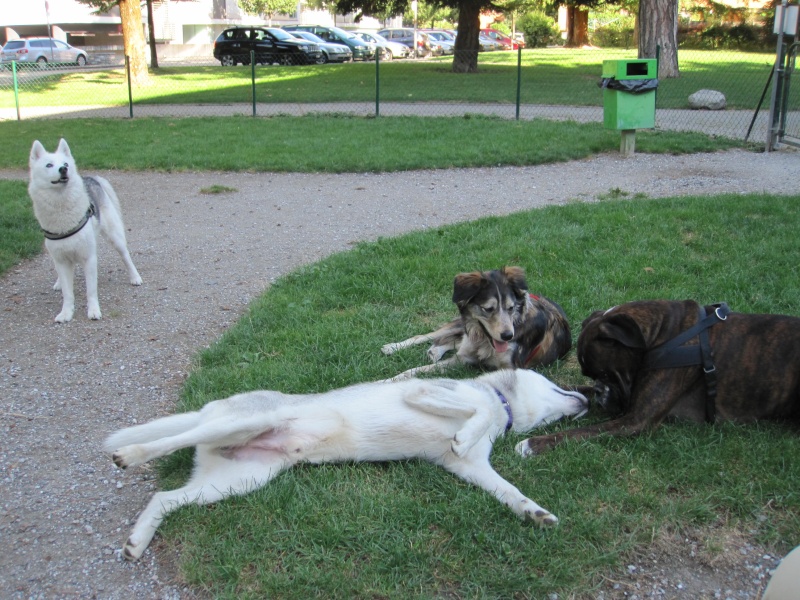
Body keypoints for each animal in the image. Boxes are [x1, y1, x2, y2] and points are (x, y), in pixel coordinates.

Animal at [28, 138, 142, 322]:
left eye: (65, 163)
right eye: (49, 165)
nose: (63, 169)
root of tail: (91, 178)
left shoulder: (89, 257)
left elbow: (91, 290)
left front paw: (94, 310)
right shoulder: (61, 259)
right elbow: (68, 293)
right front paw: (66, 313)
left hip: (115, 236)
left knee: (125, 256)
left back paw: (135, 276)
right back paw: (58, 283)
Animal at [106, 368, 588, 560]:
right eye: (555, 383)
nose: (588, 399)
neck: (501, 401)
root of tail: (212, 409)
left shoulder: (471, 468)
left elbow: (510, 492)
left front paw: (536, 513)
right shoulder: (423, 391)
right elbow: (477, 412)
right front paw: (466, 429)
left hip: (238, 480)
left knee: (164, 497)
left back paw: (137, 542)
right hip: (244, 423)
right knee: (170, 439)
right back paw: (129, 454)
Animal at [380, 268, 568, 380]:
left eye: (511, 307)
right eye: (488, 309)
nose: (508, 336)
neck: (484, 341)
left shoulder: (511, 368)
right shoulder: (463, 357)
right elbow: (415, 370)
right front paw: (387, 380)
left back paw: (434, 351)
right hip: (459, 325)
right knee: (427, 336)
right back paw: (393, 347)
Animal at [512, 298, 800, 458]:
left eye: (606, 373)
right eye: (592, 375)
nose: (602, 391)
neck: (664, 337)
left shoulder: (635, 419)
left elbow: (581, 432)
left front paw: (533, 444)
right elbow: (575, 389)